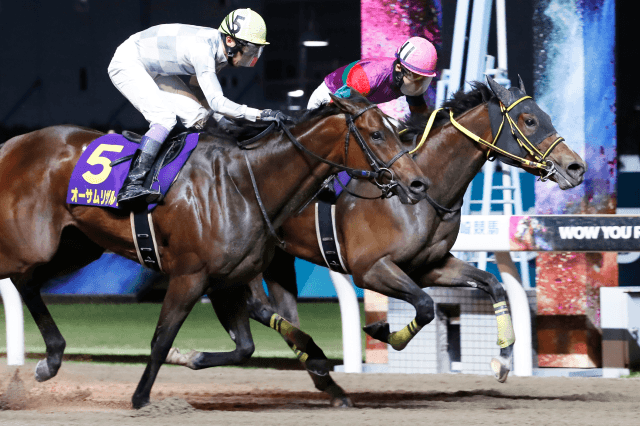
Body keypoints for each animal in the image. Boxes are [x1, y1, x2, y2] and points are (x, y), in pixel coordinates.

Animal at [0, 93, 430, 409]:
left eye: (395, 130)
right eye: (376, 135)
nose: (417, 184)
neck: (244, 184)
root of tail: (12, 143)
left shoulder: (226, 281)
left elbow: (245, 347)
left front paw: (193, 357)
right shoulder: (189, 276)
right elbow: (162, 338)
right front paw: (141, 398)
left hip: (74, 246)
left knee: (28, 283)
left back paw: (51, 360)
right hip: (30, 244)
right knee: (23, 279)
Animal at [165, 77, 585, 403]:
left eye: (545, 116)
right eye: (530, 120)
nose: (575, 167)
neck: (426, 189)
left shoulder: (430, 266)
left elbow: (493, 286)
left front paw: (503, 360)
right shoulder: (371, 269)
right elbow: (425, 306)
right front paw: (382, 331)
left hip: (278, 259)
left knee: (281, 312)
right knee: (255, 307)